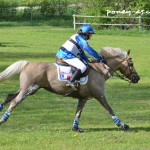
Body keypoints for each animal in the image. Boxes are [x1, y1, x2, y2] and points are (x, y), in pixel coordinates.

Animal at [0, 46, 140, 132]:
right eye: (131, 64)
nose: (137, 78)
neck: (99, 71)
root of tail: (28, 63)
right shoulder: (100, 96)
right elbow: (110, 110)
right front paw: (122, 125)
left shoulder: (83, 98)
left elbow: (78, 112)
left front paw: (76, 128)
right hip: (28, 90)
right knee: (14, 102)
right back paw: (3, 119)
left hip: (30, 89)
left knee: (10, 96)